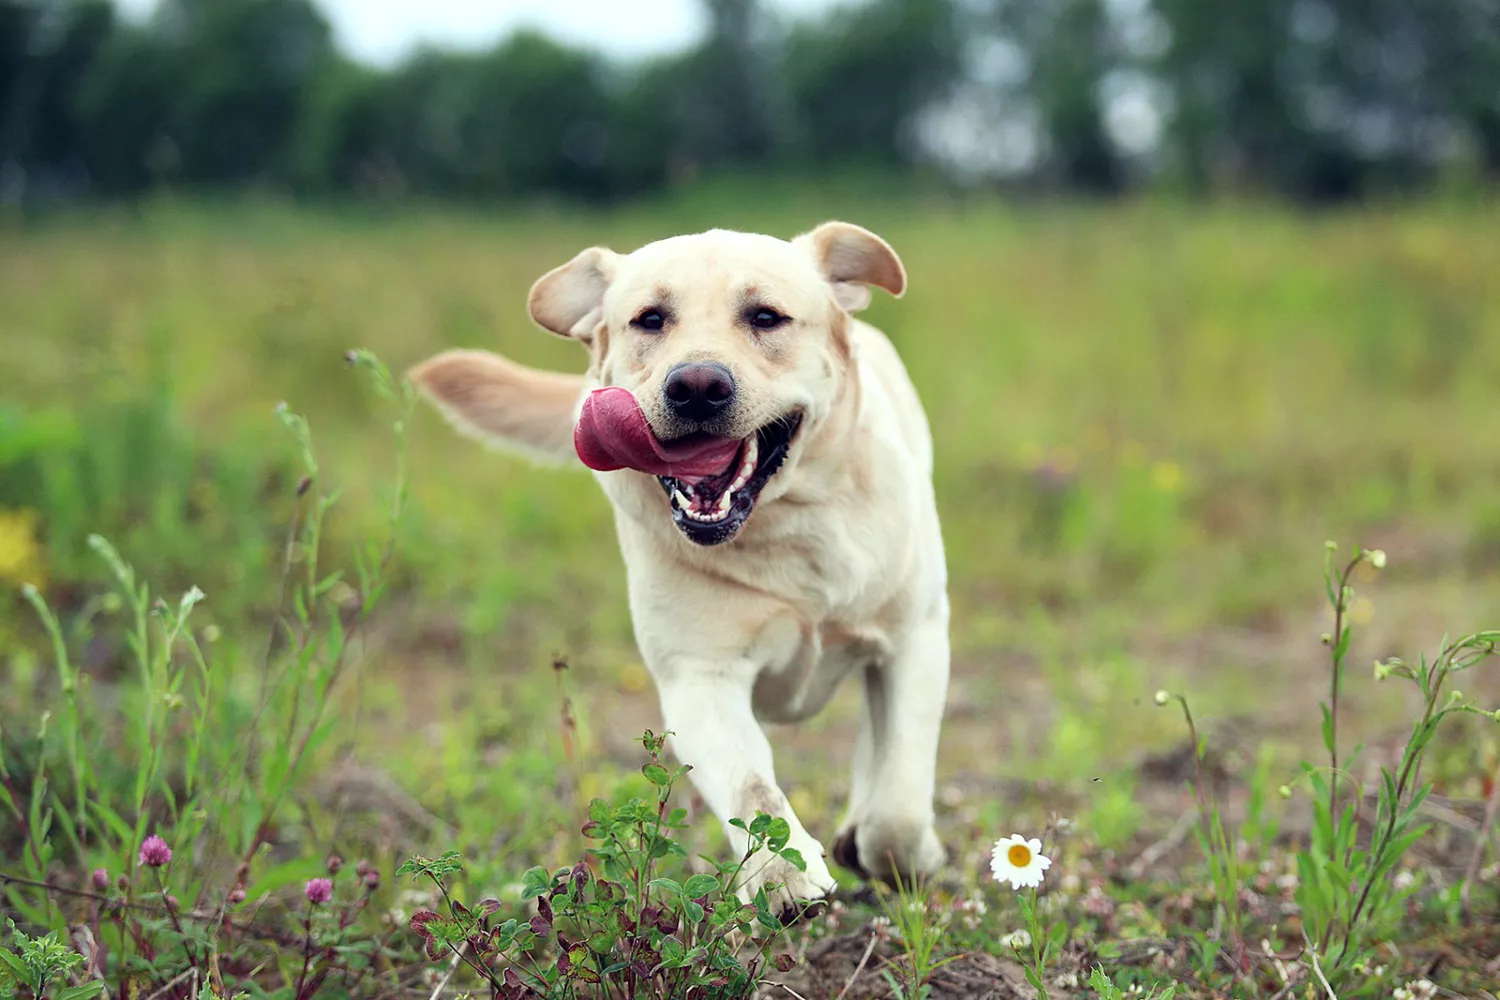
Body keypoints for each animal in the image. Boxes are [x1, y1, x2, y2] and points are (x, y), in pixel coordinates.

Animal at [411, 224, 948, 917]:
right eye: (650, 319)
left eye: (765, 317)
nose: (695, 385)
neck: (779, 531)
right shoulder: (698, 676)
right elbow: (752, 786)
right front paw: (784, 876)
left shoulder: (916, 639)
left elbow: (899, 806)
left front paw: (898, 852)